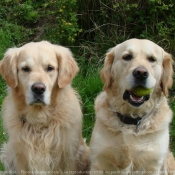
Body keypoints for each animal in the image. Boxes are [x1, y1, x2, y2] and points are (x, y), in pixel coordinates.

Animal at [0, 40, 89, 174]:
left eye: (50, 68)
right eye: (25, 69)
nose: (38, 89)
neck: (39, 120)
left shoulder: (68, 156)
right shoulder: (20, 157)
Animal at [89, 39, 175, 174]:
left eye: (152, 59)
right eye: (127, 57)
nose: (141, 73)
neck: (133, 120)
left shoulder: (153, 165)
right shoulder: (99, 161)